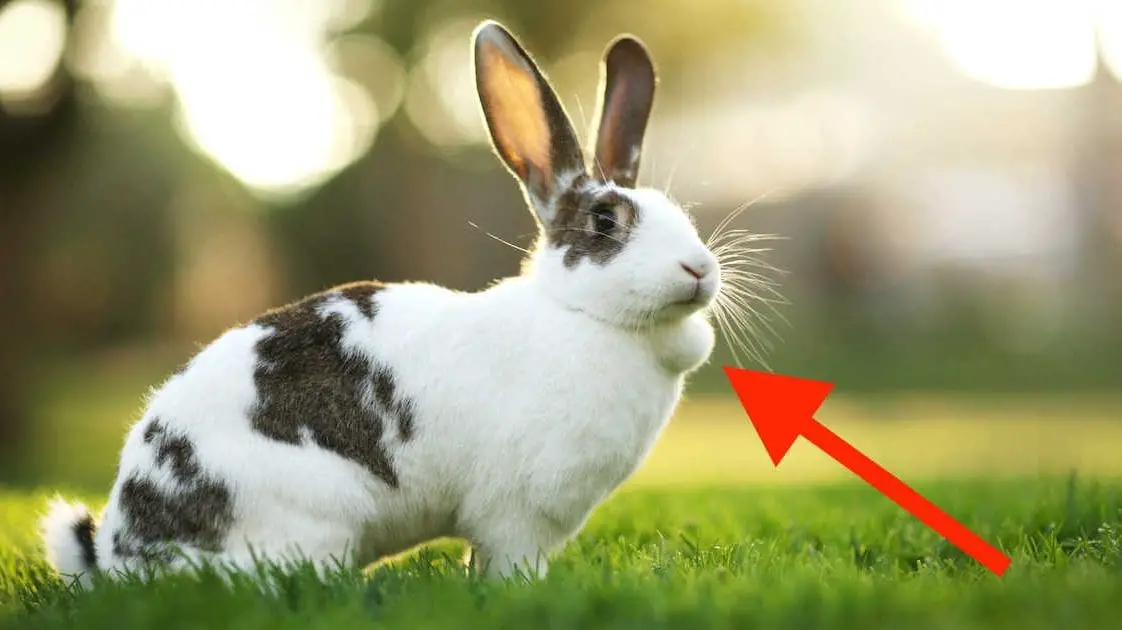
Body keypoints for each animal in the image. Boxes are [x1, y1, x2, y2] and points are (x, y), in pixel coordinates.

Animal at [40, 19, 722, 587]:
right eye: (605, 221)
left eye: (679, 212)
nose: (700, 268)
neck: (582, 316)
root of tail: (124, 550)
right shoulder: (517, 517)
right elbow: (508, 564)